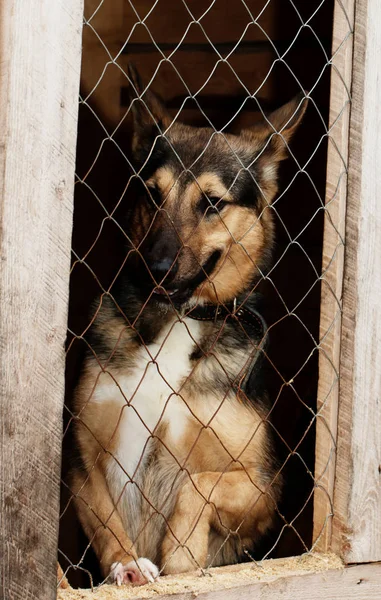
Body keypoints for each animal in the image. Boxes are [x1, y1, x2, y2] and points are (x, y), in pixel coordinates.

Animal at [70, 67, 306, 584]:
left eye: (212, 204)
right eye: (151, 193)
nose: (154, 269)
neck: (179, 320)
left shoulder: (263, 487)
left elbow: (198, 485)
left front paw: (181, 554)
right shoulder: (83, 458)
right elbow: (106, 518)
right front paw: (127, 565)